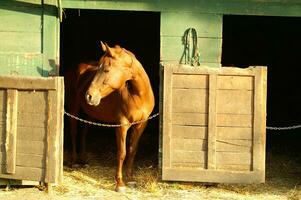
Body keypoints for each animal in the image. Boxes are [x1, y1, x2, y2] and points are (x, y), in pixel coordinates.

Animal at [66, 42, 154, 192]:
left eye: (106, 70)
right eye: (99, 68)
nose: (89, 95)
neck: (138, 95)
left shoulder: (141, 124)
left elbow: (132, 150)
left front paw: (130, 178)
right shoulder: (122, 125)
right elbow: (122, 153)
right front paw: (120, 183)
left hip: (90, 113)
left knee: (83, 132)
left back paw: (83, 159)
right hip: (74, 108)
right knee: (73, 132)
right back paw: (74, 161)